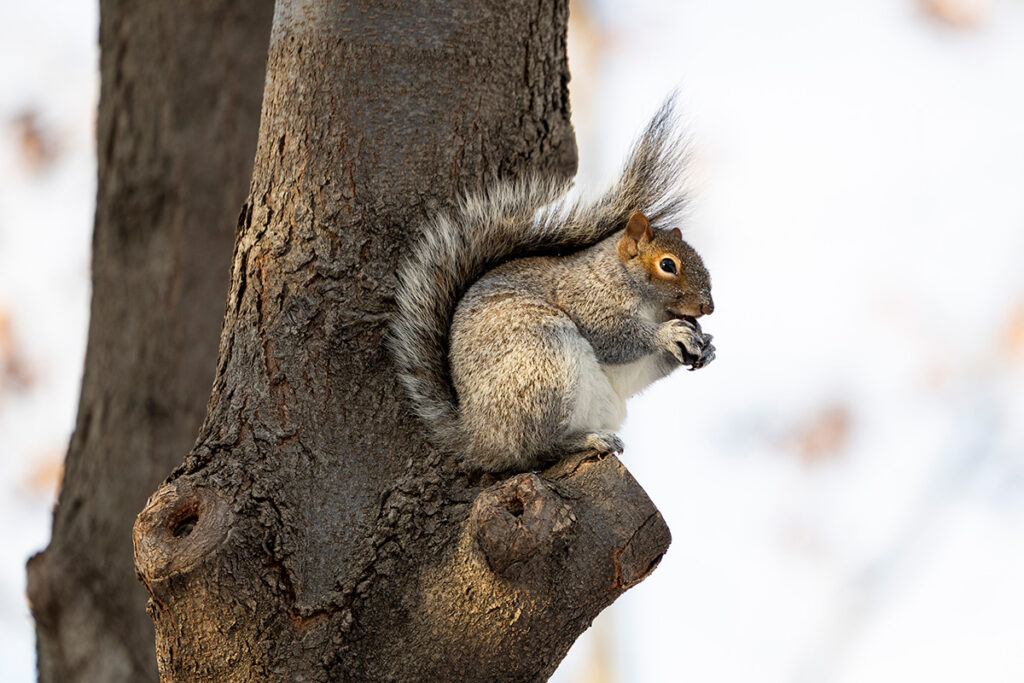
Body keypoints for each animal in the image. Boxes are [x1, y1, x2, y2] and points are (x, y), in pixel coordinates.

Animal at [389, 101, 715, 473]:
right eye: (667, 265)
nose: (708, 307)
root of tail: (479, 439)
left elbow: (641, 369)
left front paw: (705, 345)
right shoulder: (585, 298)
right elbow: (613, 338)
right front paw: (668, 334)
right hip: (542, 369)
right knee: (538, 451)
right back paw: (587, 440)